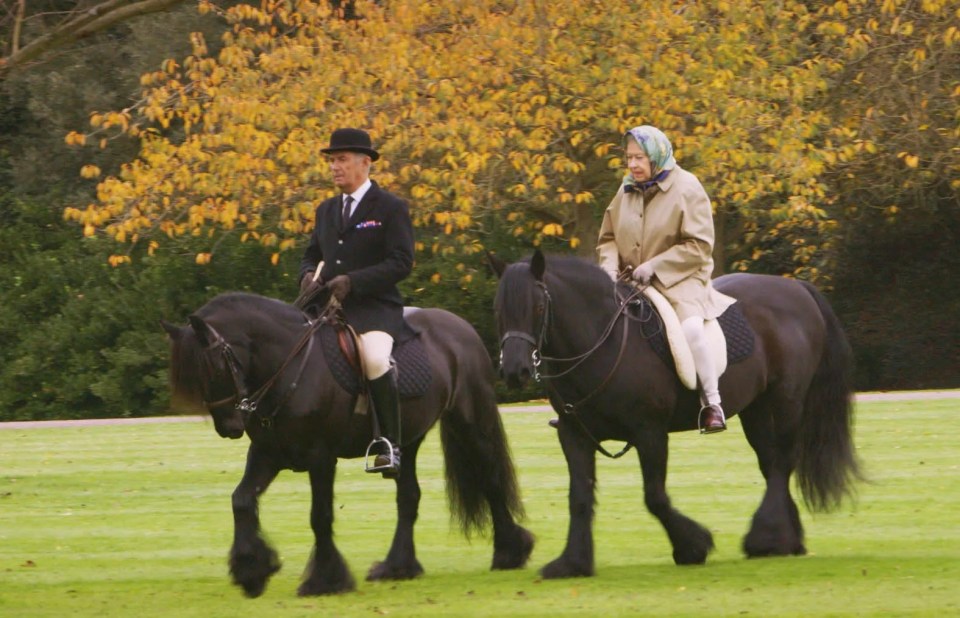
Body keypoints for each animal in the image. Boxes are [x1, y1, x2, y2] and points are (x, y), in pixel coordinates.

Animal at [158, 292, 532, 596]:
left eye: (214, 367)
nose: (230, 427)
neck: (290, 366)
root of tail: (460, 327)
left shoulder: (321, 457)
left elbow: (319, 516)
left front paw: (325, 580)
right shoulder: (267, 454)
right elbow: (241, 501)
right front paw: (252, 571)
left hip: (470, 424)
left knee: (491, 480)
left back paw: (509, 552)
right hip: (407, 443)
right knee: (408, 497)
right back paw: (397, 566)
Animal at [492, 250, 860, 576]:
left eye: (539, 306)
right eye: (501, 308)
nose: (514, 371)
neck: (601, 343)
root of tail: (797, 288)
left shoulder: (650, 433)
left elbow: (654, 497)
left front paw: (693, 546)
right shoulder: (574, 435)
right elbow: (579, 498)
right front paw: (572, 563)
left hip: (786, 401)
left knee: (783, 461)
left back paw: (765, 537)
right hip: (756, 409)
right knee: (772, 465)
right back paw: (786, 540)